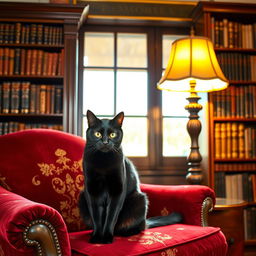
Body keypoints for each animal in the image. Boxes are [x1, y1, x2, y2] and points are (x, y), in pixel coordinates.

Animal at [78, 110, 182, 244]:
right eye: (97, 134)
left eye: (113, 134)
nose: (105, 142)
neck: (103, 164)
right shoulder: (91, 191)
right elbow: (96, 216)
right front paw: (96, 237)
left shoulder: (117, 190)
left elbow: (111, 216)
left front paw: (106, 238)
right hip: (82, 197)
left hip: (139, 199)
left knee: (138, 227)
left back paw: (126, 232)